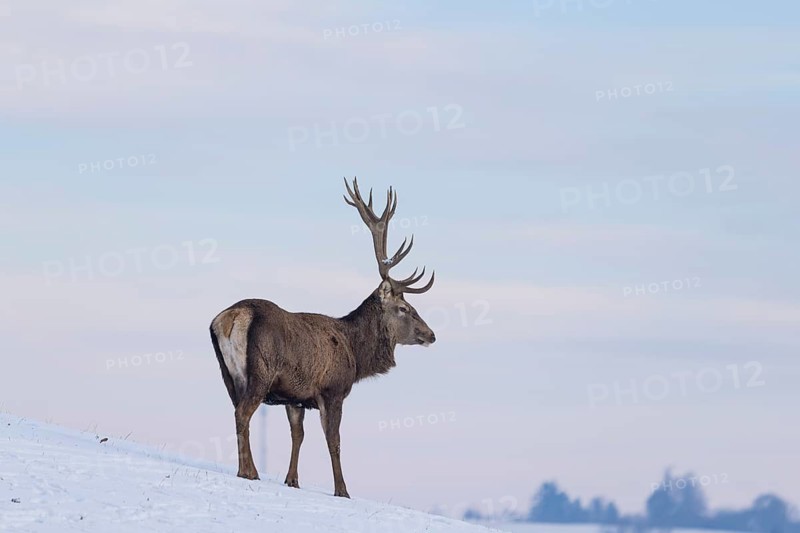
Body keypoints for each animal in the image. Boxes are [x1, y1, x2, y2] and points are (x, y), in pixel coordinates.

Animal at [209, 178, 436, 498]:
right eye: (405, 308)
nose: (431, 334)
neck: (356, 353)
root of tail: (231, 317)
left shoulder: (295, 397)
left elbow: (298, 435)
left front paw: (292, 480)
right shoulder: (333, 389)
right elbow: (334, 440)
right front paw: (343, 490)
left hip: (228, 373)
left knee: (238, 412)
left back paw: (248, 469)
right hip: (261, 370)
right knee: (243, 413)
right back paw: (248, 472)